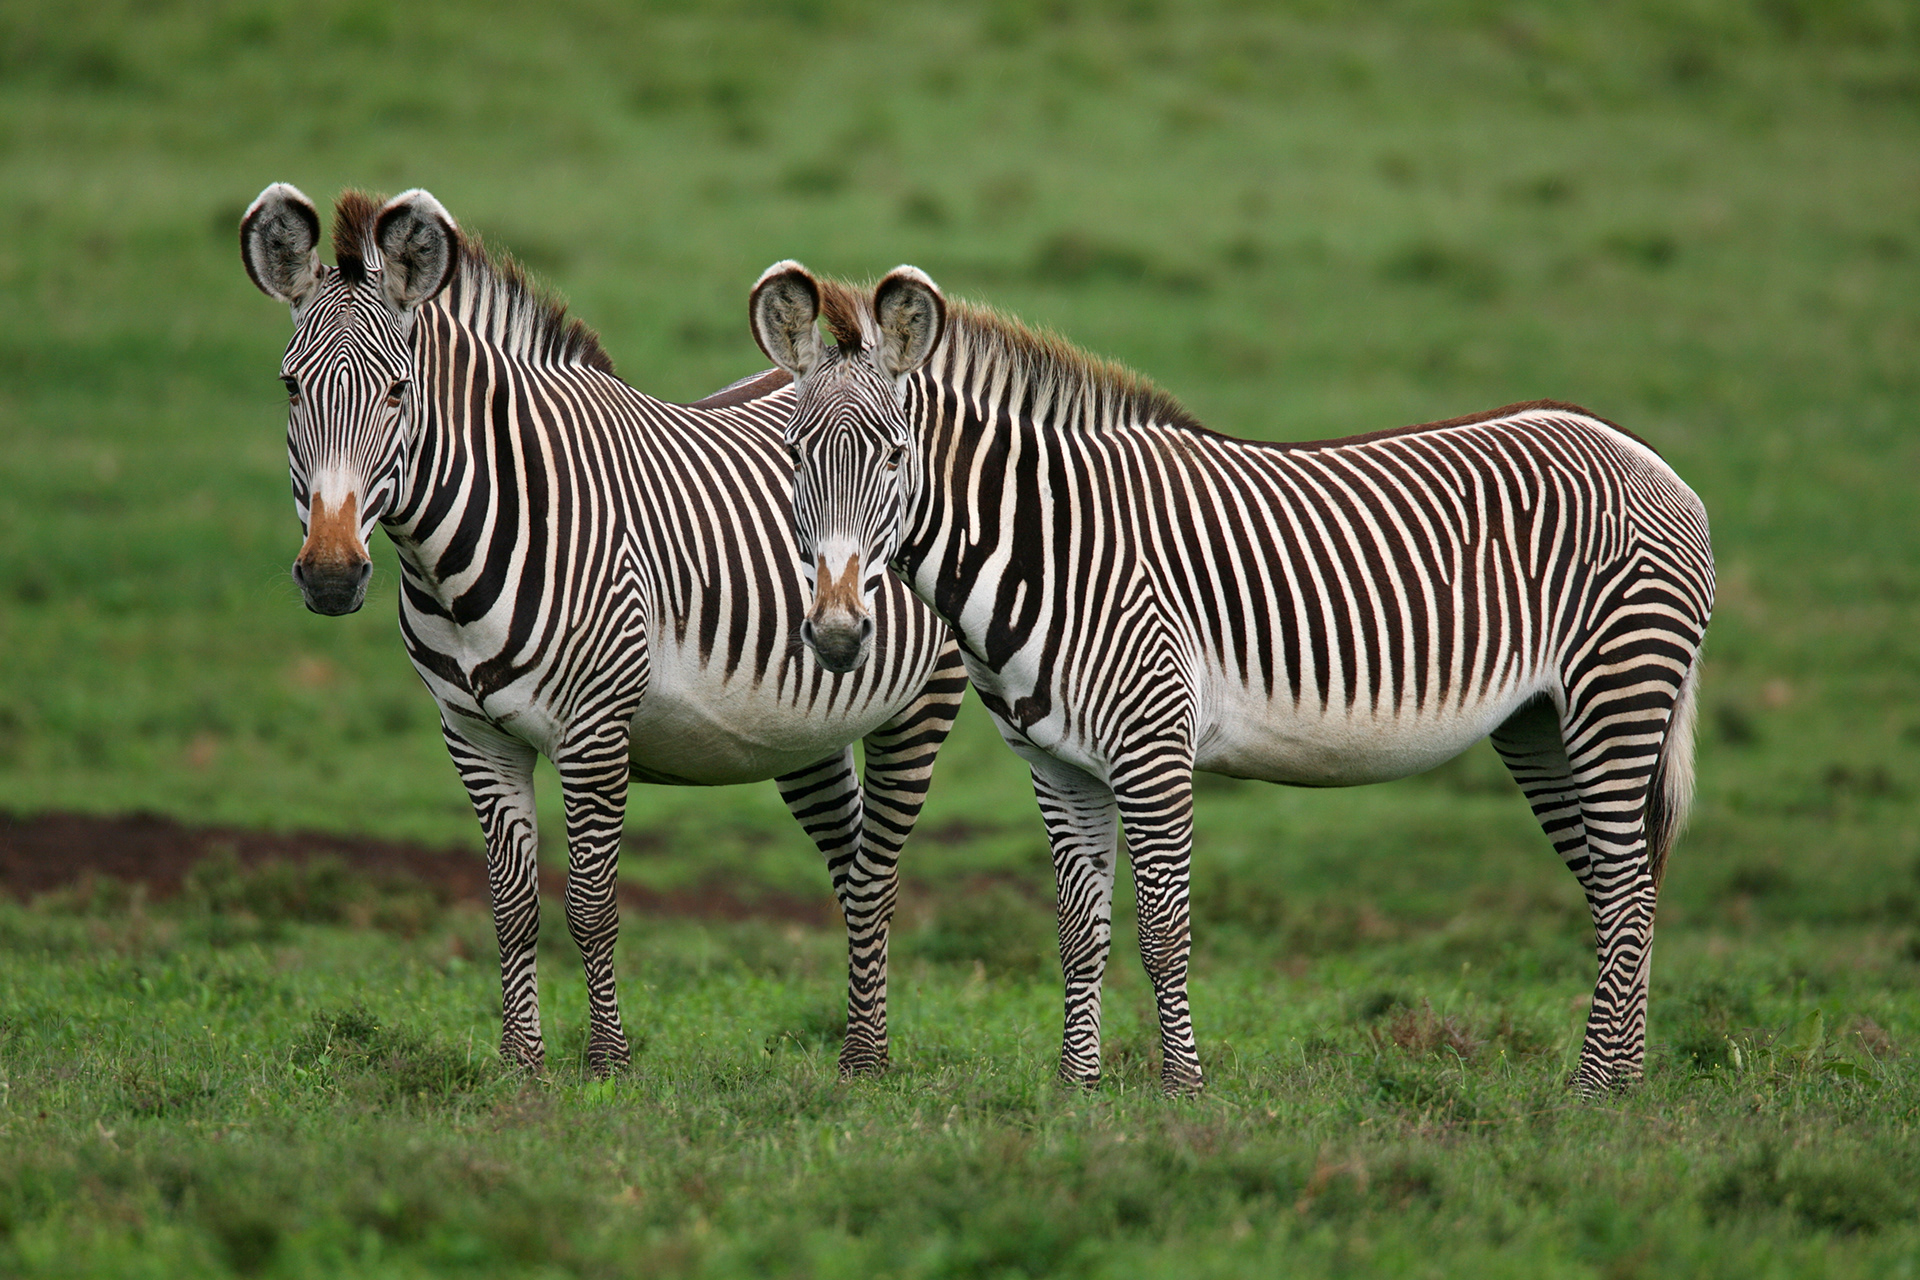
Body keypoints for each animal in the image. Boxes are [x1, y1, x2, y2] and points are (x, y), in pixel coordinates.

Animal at [238, 185, 966, 1077]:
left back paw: (865, 1059)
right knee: (851, 861)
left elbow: (590, 903)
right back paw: (868, 1043)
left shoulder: (594, 730)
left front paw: (608, 1063)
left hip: (922, 702)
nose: (334, 575)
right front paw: (522, 1063)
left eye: (399, 391)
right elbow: (510, 904)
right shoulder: (473, 734)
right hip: (803, 732)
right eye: (290, 387)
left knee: (877, 877)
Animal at [748, 262, 1713, 1097]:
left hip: (1616, 691)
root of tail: (1639, 450)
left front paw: (1182, 1088)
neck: (1048, 547)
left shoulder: (1152, 744)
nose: (837, 632)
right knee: (1619, 887)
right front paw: (1075, 1089)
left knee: (1628, 887)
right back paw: (1622, 1083)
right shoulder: (1054, 763)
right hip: (1540, 722)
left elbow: (1162, 930)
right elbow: (1078, 931)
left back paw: (1591, 1090)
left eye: (893, 454)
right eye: (793, 456)